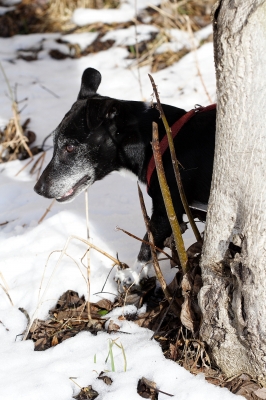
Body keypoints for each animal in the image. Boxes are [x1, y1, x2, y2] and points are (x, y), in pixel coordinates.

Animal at [34, 66, 216, 284]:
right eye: (54, 144)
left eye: (69, 147)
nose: (38, 189)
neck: (159, 138)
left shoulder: (167, 209)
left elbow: (147, 245)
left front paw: (133, 276)